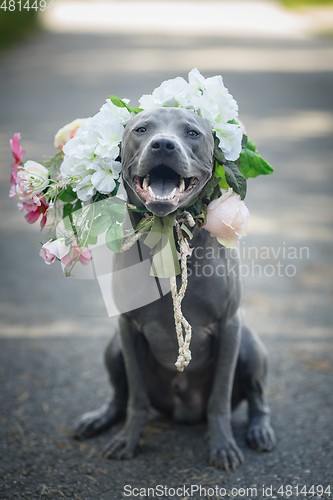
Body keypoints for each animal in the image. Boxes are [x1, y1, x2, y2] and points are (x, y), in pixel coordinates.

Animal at [74, 107, 274, 470]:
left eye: (192, 133)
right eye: (141, 129)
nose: (164, 144)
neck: (167, 231)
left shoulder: (229, 327)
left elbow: (220, 398)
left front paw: (222, 446)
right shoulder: (128, 330)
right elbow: (136, 397)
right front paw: (128, 439)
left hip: (250, 345)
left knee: (257, 397)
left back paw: (260, 430)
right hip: (114, 348)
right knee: (120, 396)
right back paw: (99, 419)